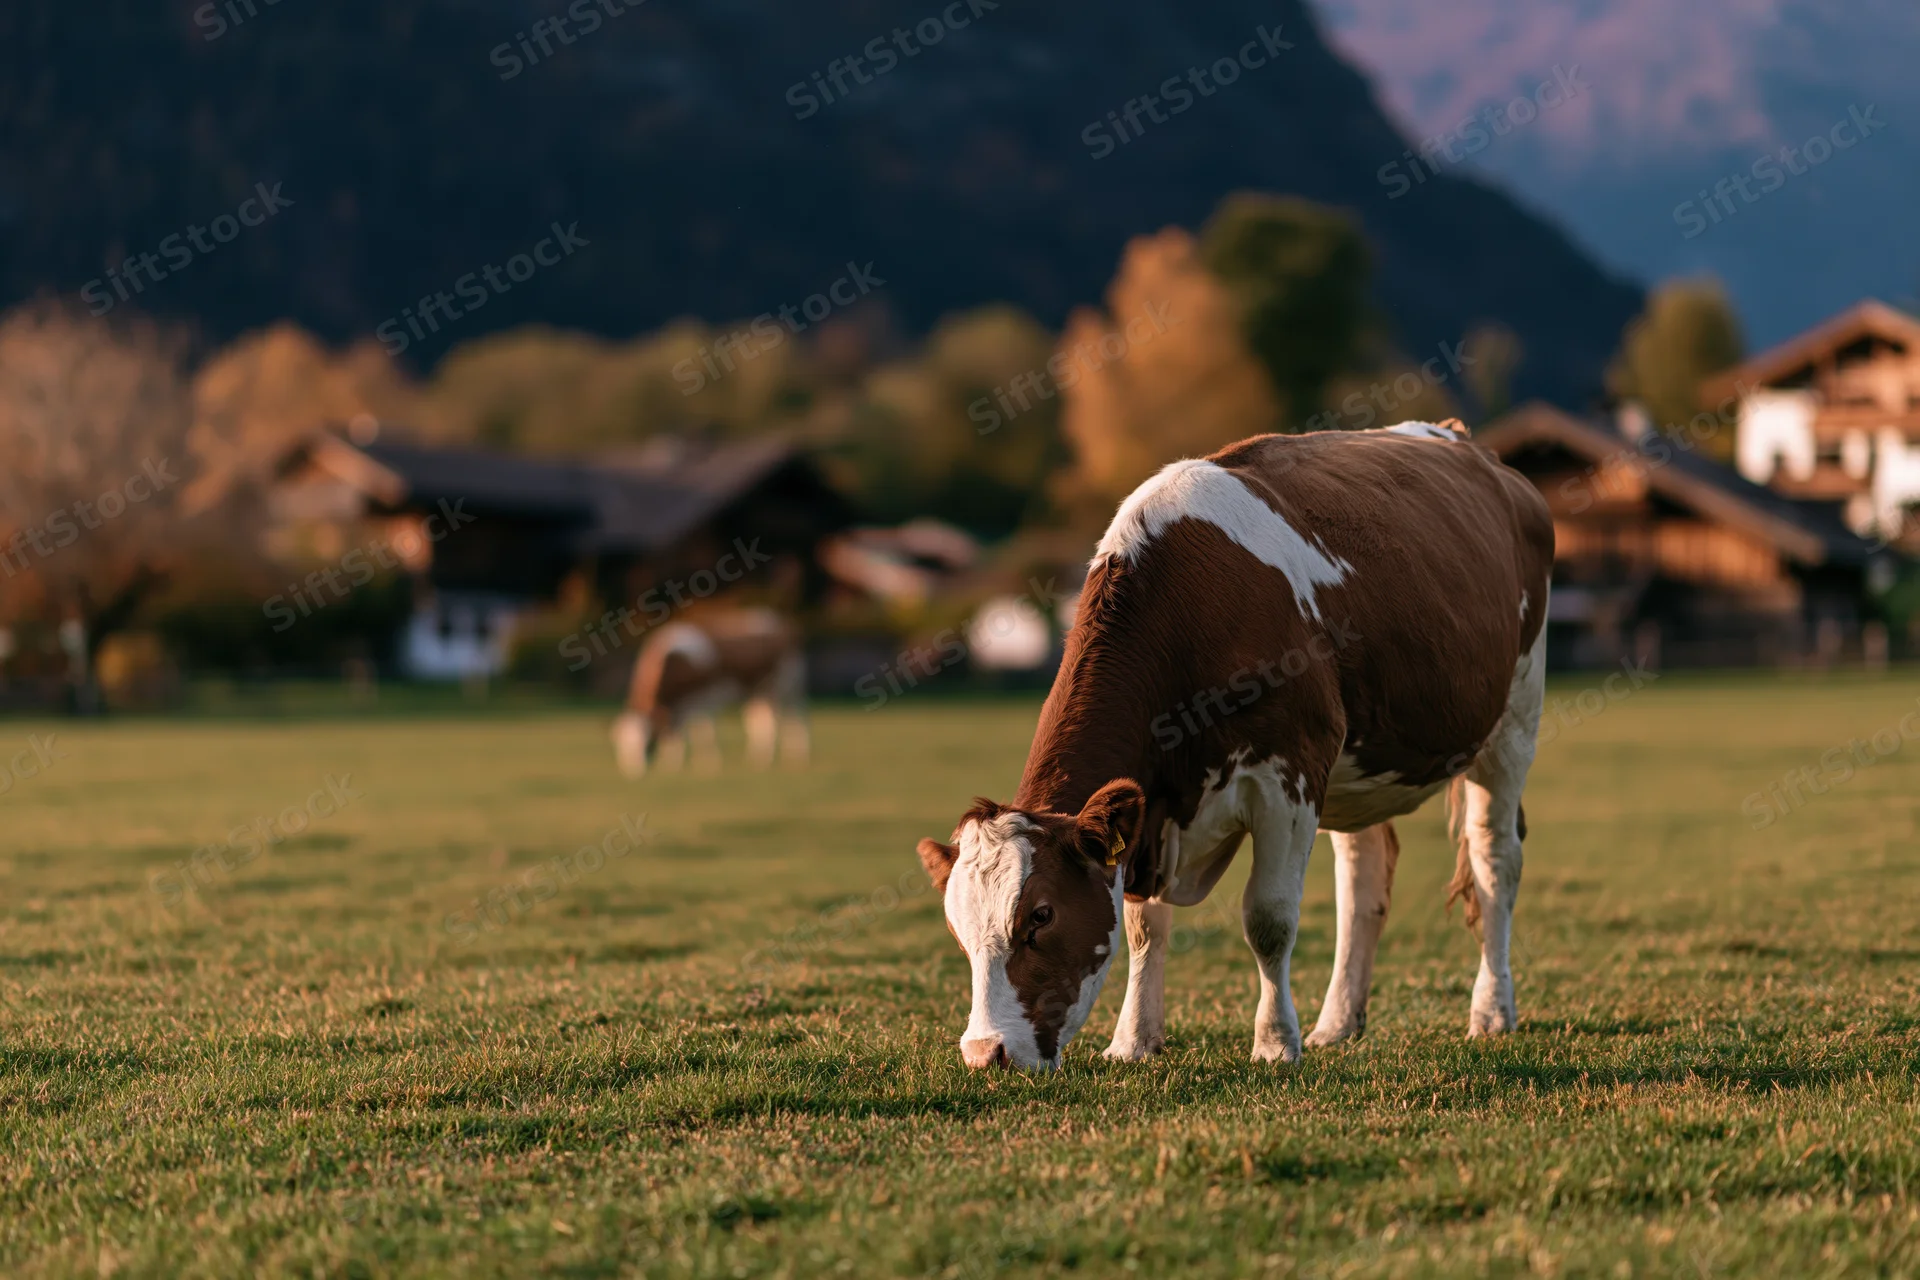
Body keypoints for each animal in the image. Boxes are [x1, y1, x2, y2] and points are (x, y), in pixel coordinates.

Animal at [611, 609, 809, 777]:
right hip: (757, 689)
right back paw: (758, 757)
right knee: (759, 719)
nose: (634, 772)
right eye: (621, 745)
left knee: (791, 715)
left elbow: (704, 730)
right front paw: (673, 762)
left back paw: (794, 754)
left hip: (786, 684)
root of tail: (780, 621)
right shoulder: (679, 703)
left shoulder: (704, 696)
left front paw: (707, 764)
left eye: (646, 742)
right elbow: (677, 729)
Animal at [915, 421, 1554, 1069]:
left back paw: (1491, 1011)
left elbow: (1269, 918)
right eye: (958, 930)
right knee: (1362, 881)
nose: (986, 1053)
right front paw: (1133, 1041)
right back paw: (1338, 1022)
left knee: (1495, 860)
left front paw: (1275, 1043)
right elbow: (1144, 928)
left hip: (1513, 721)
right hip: (1359, 767)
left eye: (1040, 916)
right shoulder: (1149, 813)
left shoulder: (1288, 776)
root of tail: (1464, 443)